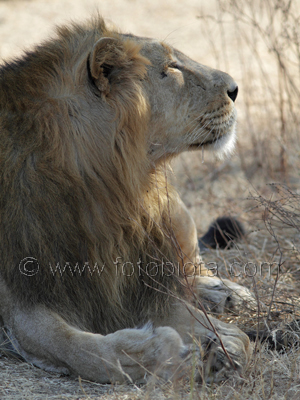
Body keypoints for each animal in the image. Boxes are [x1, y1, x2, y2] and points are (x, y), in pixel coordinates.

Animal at [0, 17, 252, 382]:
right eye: (171, 67)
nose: (235, 89)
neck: (105, 190)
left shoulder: (137, 281)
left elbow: (220, 328)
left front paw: (224, 343)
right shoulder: (26, 293)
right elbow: (79, 348)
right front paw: (157, 350)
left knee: (190, 266)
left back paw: (226, 292)